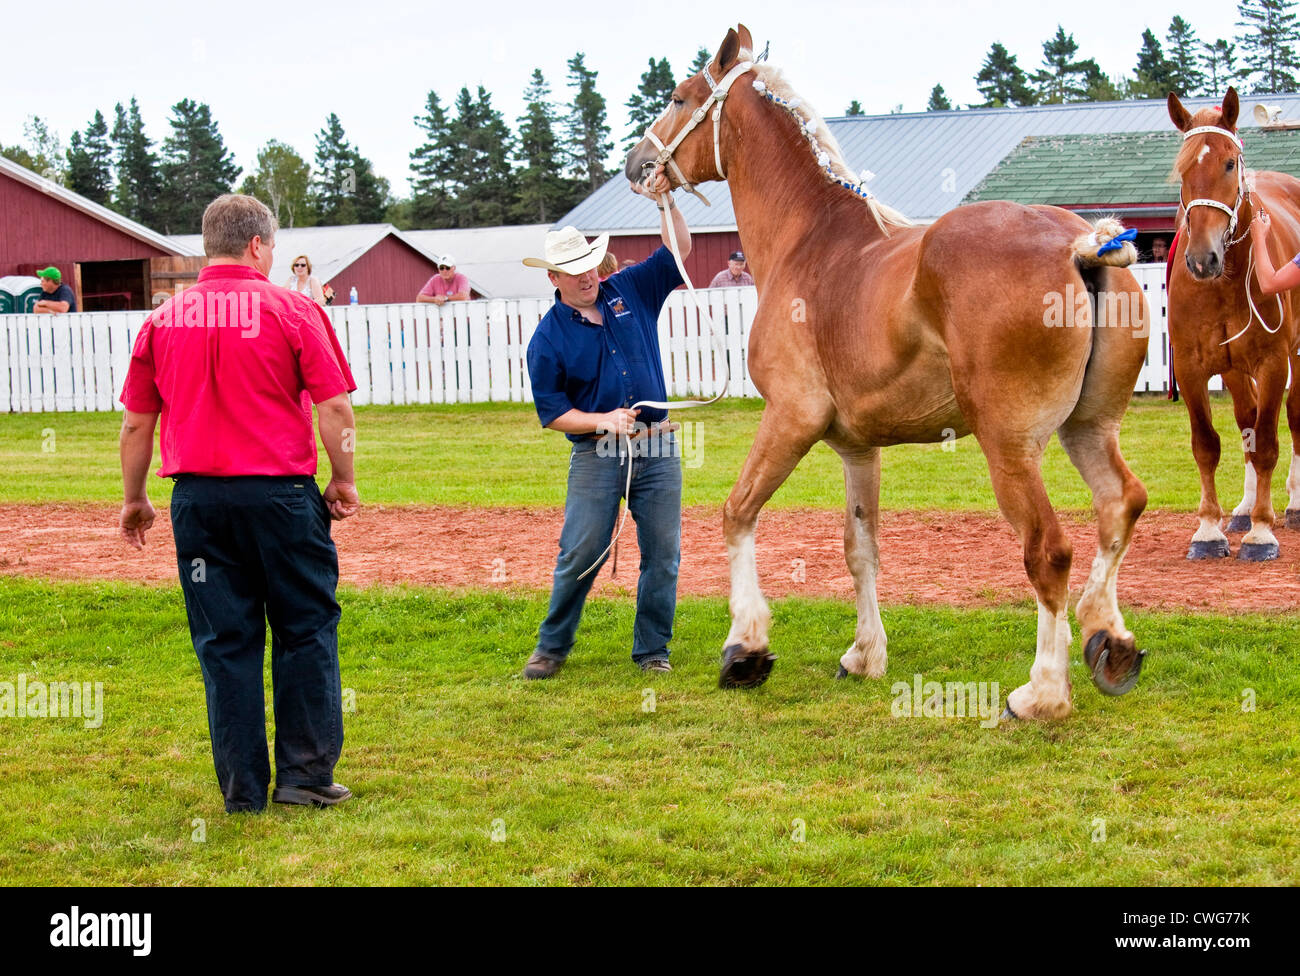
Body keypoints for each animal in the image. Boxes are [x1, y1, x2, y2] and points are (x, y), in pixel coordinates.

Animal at [625, 25, 1152, 719]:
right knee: (1121, 505)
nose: (637, 164)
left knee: (1049, 550)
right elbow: (861, 549)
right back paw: (1109, 640)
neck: (811, 242)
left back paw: (1041, 691)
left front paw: (745, 648)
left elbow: (737, 513)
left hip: (1010, 446)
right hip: (1090, 428)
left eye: (681, 97)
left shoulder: (791, 419)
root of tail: (1081, 245)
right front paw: (864, 655)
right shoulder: (856, 449)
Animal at [1166, 89, 1300, 562]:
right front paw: (1209, 529)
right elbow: (1208, 445)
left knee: (1293, 419)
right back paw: (1243, 509)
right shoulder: (1191, 367)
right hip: (1235, 369)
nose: (1202, 259)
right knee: (1246, 422)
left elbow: (1269, 444)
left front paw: (1262, 533)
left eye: (1229, 163)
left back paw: (1291, 507)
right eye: (1184, 168)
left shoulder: (1274, 363)